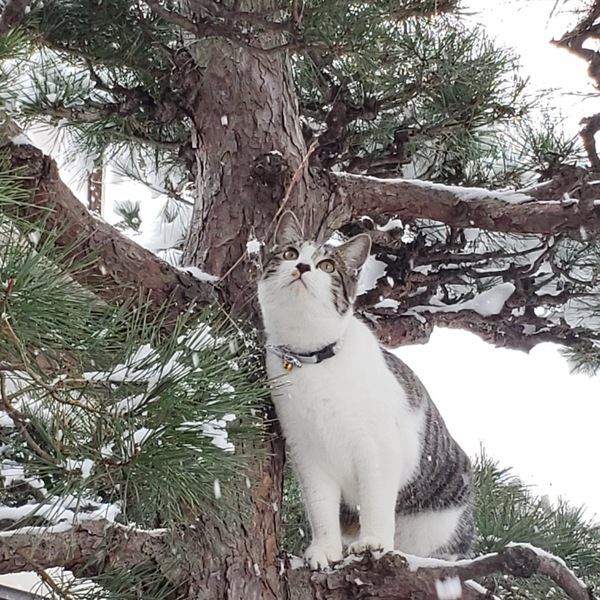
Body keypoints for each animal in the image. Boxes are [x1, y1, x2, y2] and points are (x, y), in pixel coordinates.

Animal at [258, 213, 474, 568]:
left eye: (328, 266)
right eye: (290, 253)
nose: (302, 266)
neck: (313, 361)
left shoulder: (377, 448)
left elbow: (374, 501)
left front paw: (373, 542)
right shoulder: (307, 453)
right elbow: (320, 507)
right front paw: (324, 550)